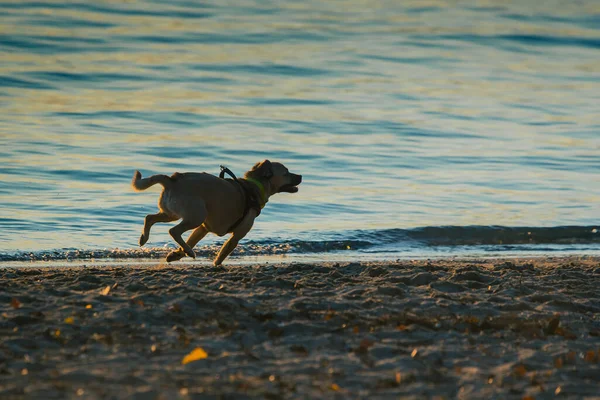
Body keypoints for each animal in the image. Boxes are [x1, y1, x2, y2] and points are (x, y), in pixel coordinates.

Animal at [131, 159, 300, 266]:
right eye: (286, 173)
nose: (301, 176)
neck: (254, 186)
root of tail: (172, 180)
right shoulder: (235, 237)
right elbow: (223, 253)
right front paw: (214, 263)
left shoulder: (203, 229)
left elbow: (192, 240)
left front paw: (177, 254)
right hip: (196, 216)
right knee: (173, 231)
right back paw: (189, 251)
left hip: (172, 214)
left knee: (149, 218)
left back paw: (144, 238)